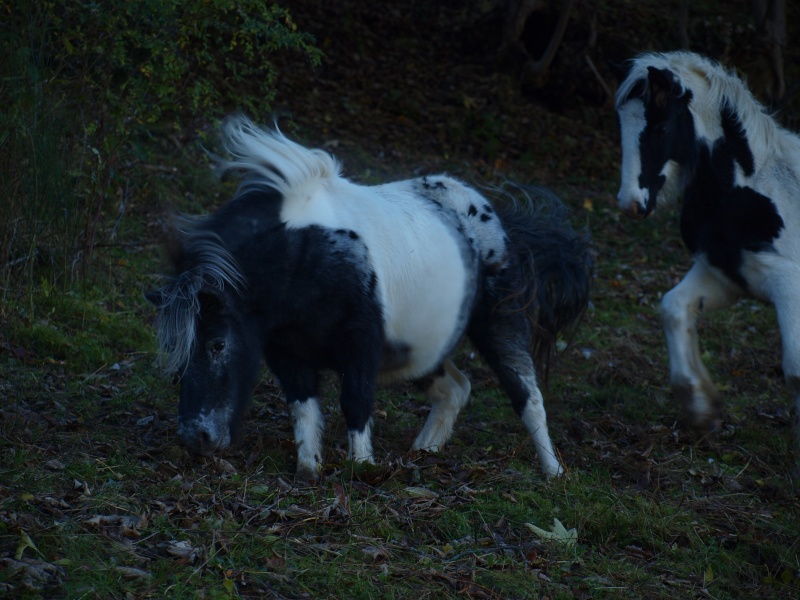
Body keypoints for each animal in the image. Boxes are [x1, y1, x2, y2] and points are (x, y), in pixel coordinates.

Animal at [147, 116, 592, 478]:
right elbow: (303, 410)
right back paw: (423, 453)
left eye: (217, 344)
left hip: (498, 325)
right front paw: (309, 471)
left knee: (527, 395)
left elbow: (355, 404)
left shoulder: (360, 344)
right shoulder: (287, 353)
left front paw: (361, 469)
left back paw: (553, 472)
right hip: (421, 352)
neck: (307, 255)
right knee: (456, 389)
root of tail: (497, 220)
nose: (196, 438)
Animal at [616, 50, 800, 464]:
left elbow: (796, 369)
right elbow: (673, 308)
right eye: (621, 125)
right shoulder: (725, 274)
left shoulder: (789, 284)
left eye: (660, 127)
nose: (631, 204)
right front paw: (702, 412)